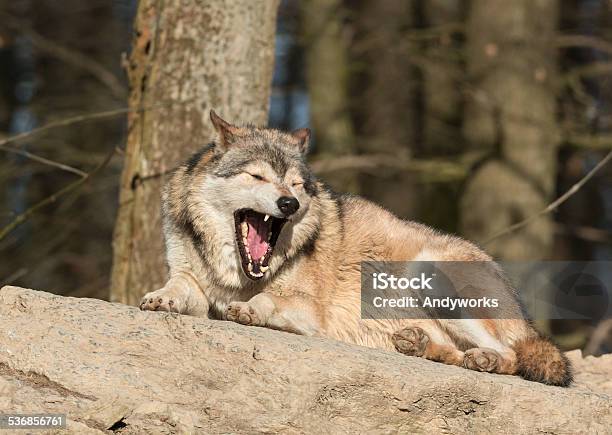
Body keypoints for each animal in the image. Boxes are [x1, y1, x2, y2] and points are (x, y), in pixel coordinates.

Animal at [141, 110, 572, 386]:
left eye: (296, 184)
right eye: (257, 176)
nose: (289, 204)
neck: (236, 275)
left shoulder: (309, 310)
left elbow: (267, 300)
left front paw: (250, 309)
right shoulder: (191, 278)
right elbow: (179, 287)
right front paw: (160, 298)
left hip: (430, 275)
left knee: (514, 355)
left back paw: (485, 359)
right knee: (456, 351)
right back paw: (420, 345)